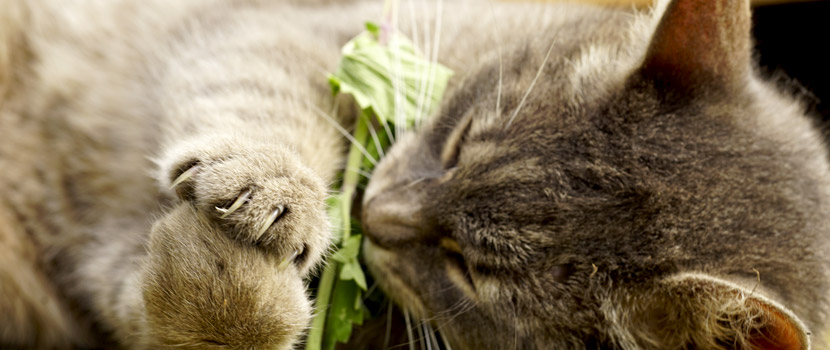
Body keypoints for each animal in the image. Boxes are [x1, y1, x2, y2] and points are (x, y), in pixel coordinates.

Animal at [0, 0, 828, 350]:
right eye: (458, 144)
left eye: (472, 270)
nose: (373, 214)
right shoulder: (290, 28)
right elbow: (255, 89)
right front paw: (275, 189)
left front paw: (231, 290)